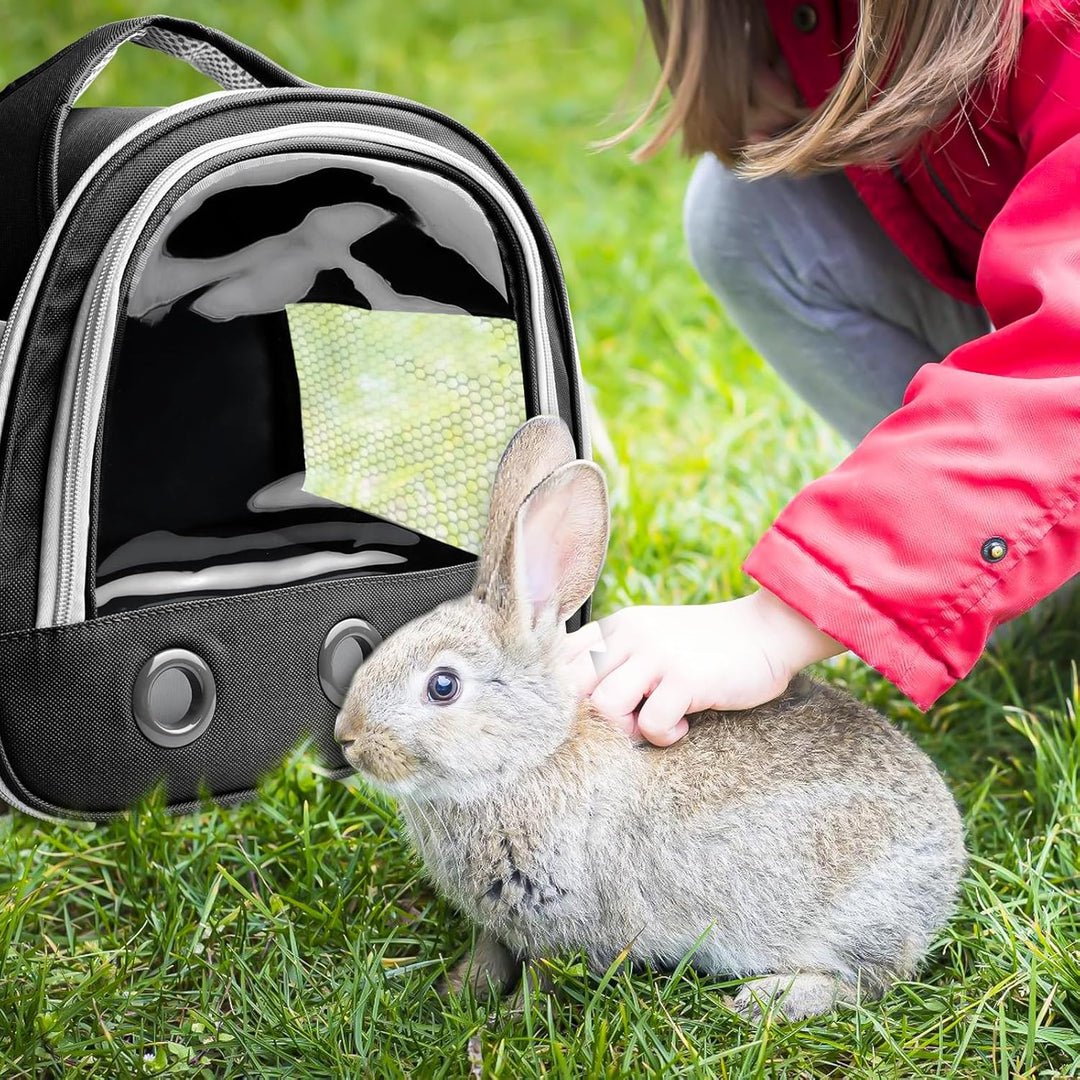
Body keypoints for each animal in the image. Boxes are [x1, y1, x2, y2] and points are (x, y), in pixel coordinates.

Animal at [334, 416, 967, 1021]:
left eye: (443, 686)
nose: (349, 740)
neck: (528, 758)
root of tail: (948, 853)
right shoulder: (501, 921)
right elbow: (490, 952)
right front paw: (458, 993)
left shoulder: (565, 922)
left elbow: (543, 976)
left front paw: (506, 1024)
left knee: (870, 982)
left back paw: (768, 1000)